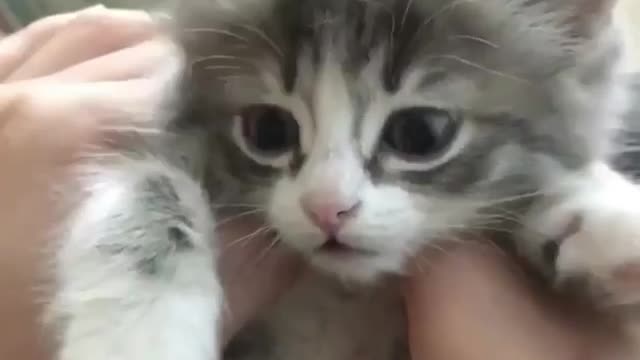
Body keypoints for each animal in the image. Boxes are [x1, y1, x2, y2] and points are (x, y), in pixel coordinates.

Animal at [47, 0, 640, 360]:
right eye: (267, 129)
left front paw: (600, 211)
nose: (326, 207)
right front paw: (137, 339)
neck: (343, 296)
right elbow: (148, 191)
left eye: (420, 133)